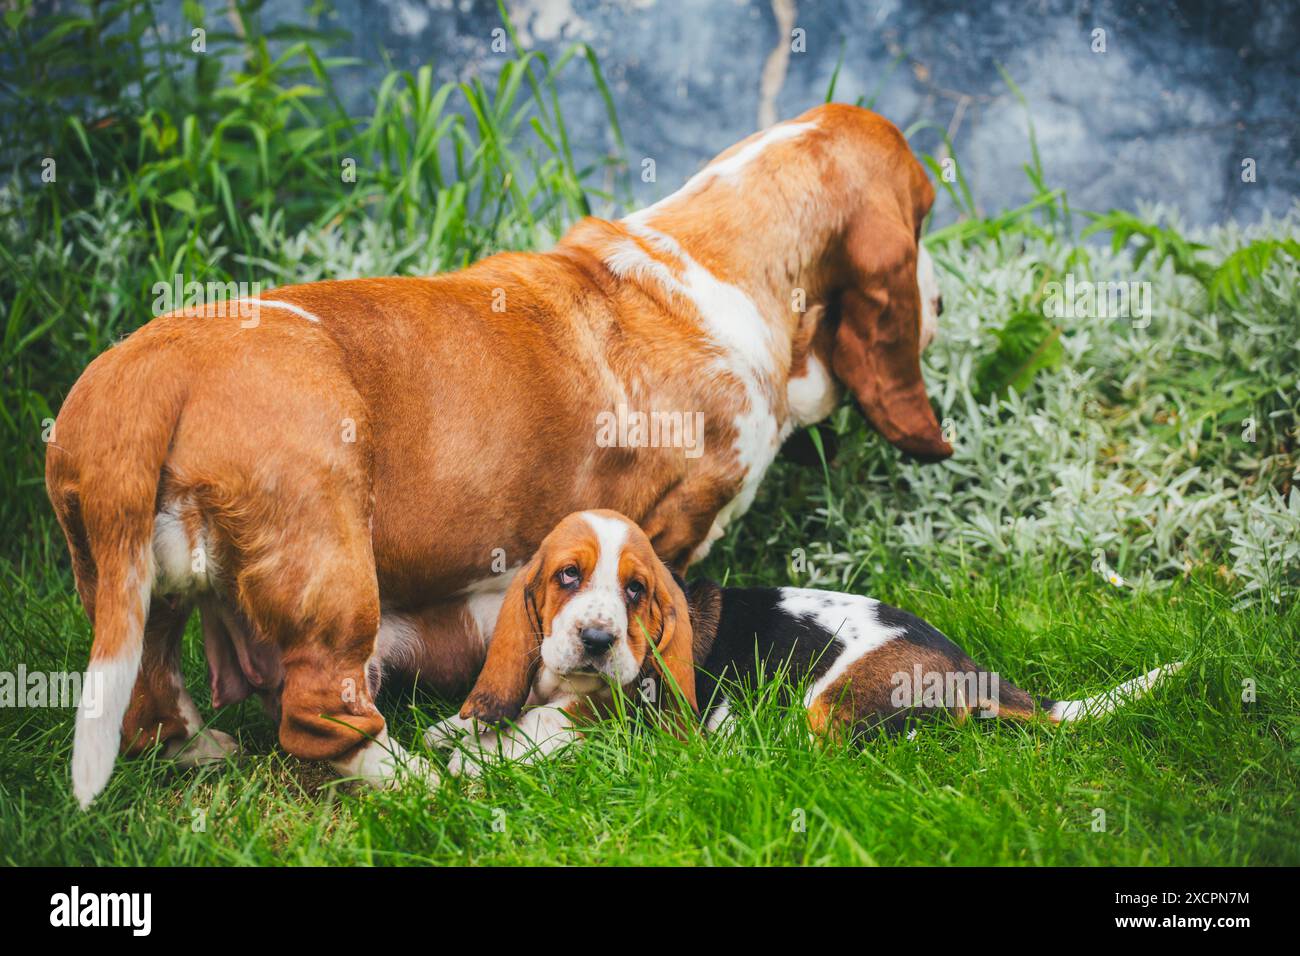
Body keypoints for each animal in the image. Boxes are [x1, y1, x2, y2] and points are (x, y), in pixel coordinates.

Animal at [45, 104, 951, 806]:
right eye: (924, 217)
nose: (940, 301)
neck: (711, 259)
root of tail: (151, 373)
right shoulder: (680, 527)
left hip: (132, 584)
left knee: (148, 698)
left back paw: (202, 752)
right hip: (331, 578)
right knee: (319, 715)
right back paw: (419, 780)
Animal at [431, 512, 1185, 775]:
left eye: (636, 591)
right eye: (568, 575)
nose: (595, 637)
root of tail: (970, 669)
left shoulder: (618, 713)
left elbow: (553, 723)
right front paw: (453, 734)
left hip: (830, 703)